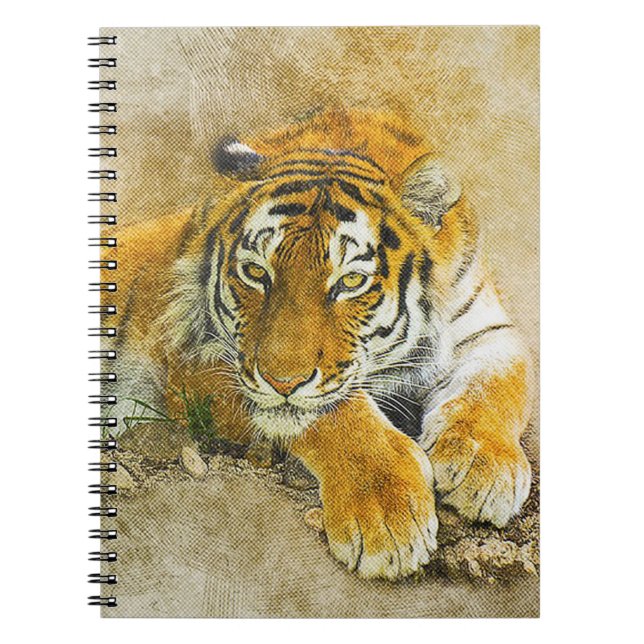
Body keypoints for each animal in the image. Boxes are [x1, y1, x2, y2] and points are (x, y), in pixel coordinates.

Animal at [109, 109, 534, 580]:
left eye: (351, 281)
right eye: (255, 272)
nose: (281, 382)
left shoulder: (487, 327)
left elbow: (498, 385)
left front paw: (485, 466)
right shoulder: (196, 355)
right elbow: (337, 414)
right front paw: (387, 517)